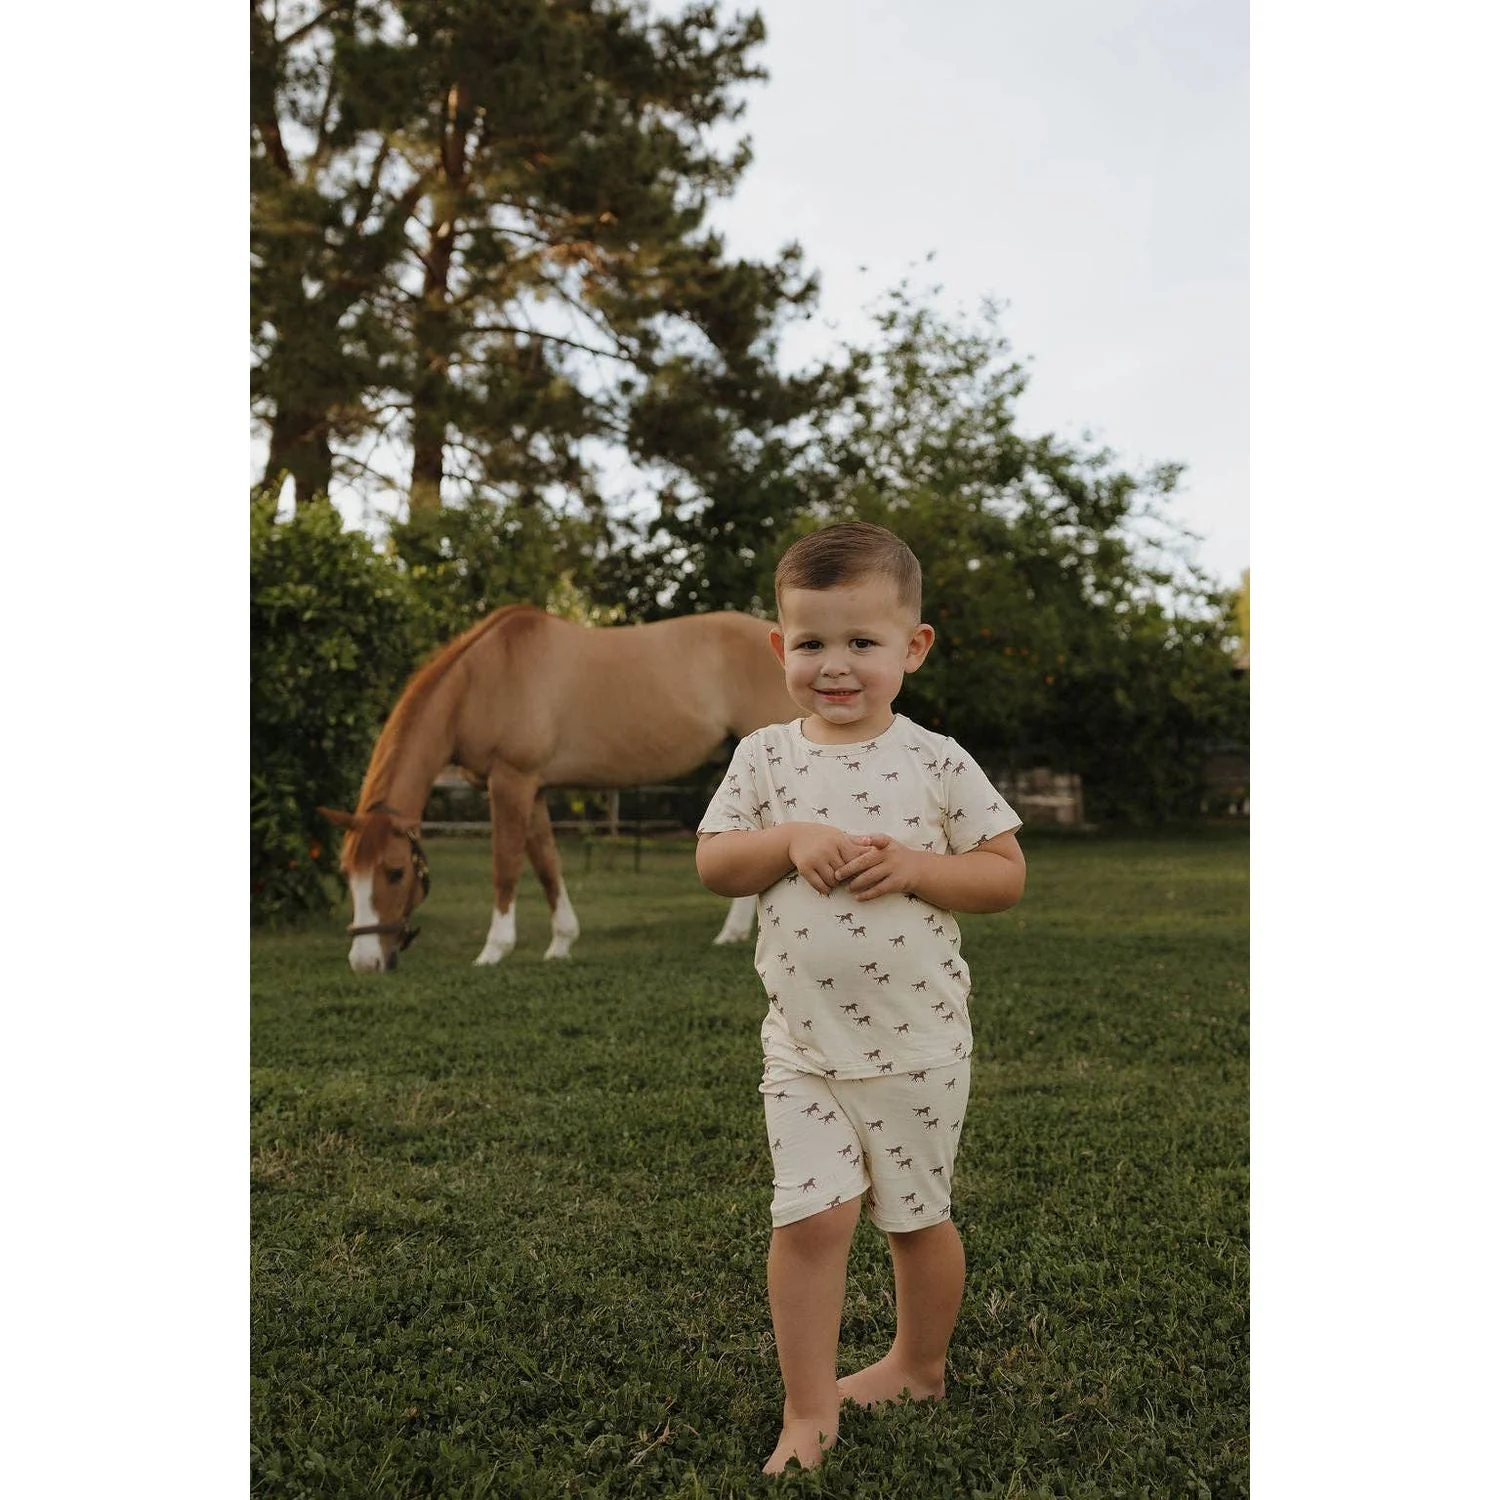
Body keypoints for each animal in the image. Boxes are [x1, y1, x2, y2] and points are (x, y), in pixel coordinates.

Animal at [318, 604, 797, 973]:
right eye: (347, 872)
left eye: (396, 872)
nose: (364, 962)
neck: (483, 679)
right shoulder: (533, 789)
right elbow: (546, 863)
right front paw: (561, 943)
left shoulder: (510, 781)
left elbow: (506, 865)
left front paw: (494, 950)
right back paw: (731, 934)